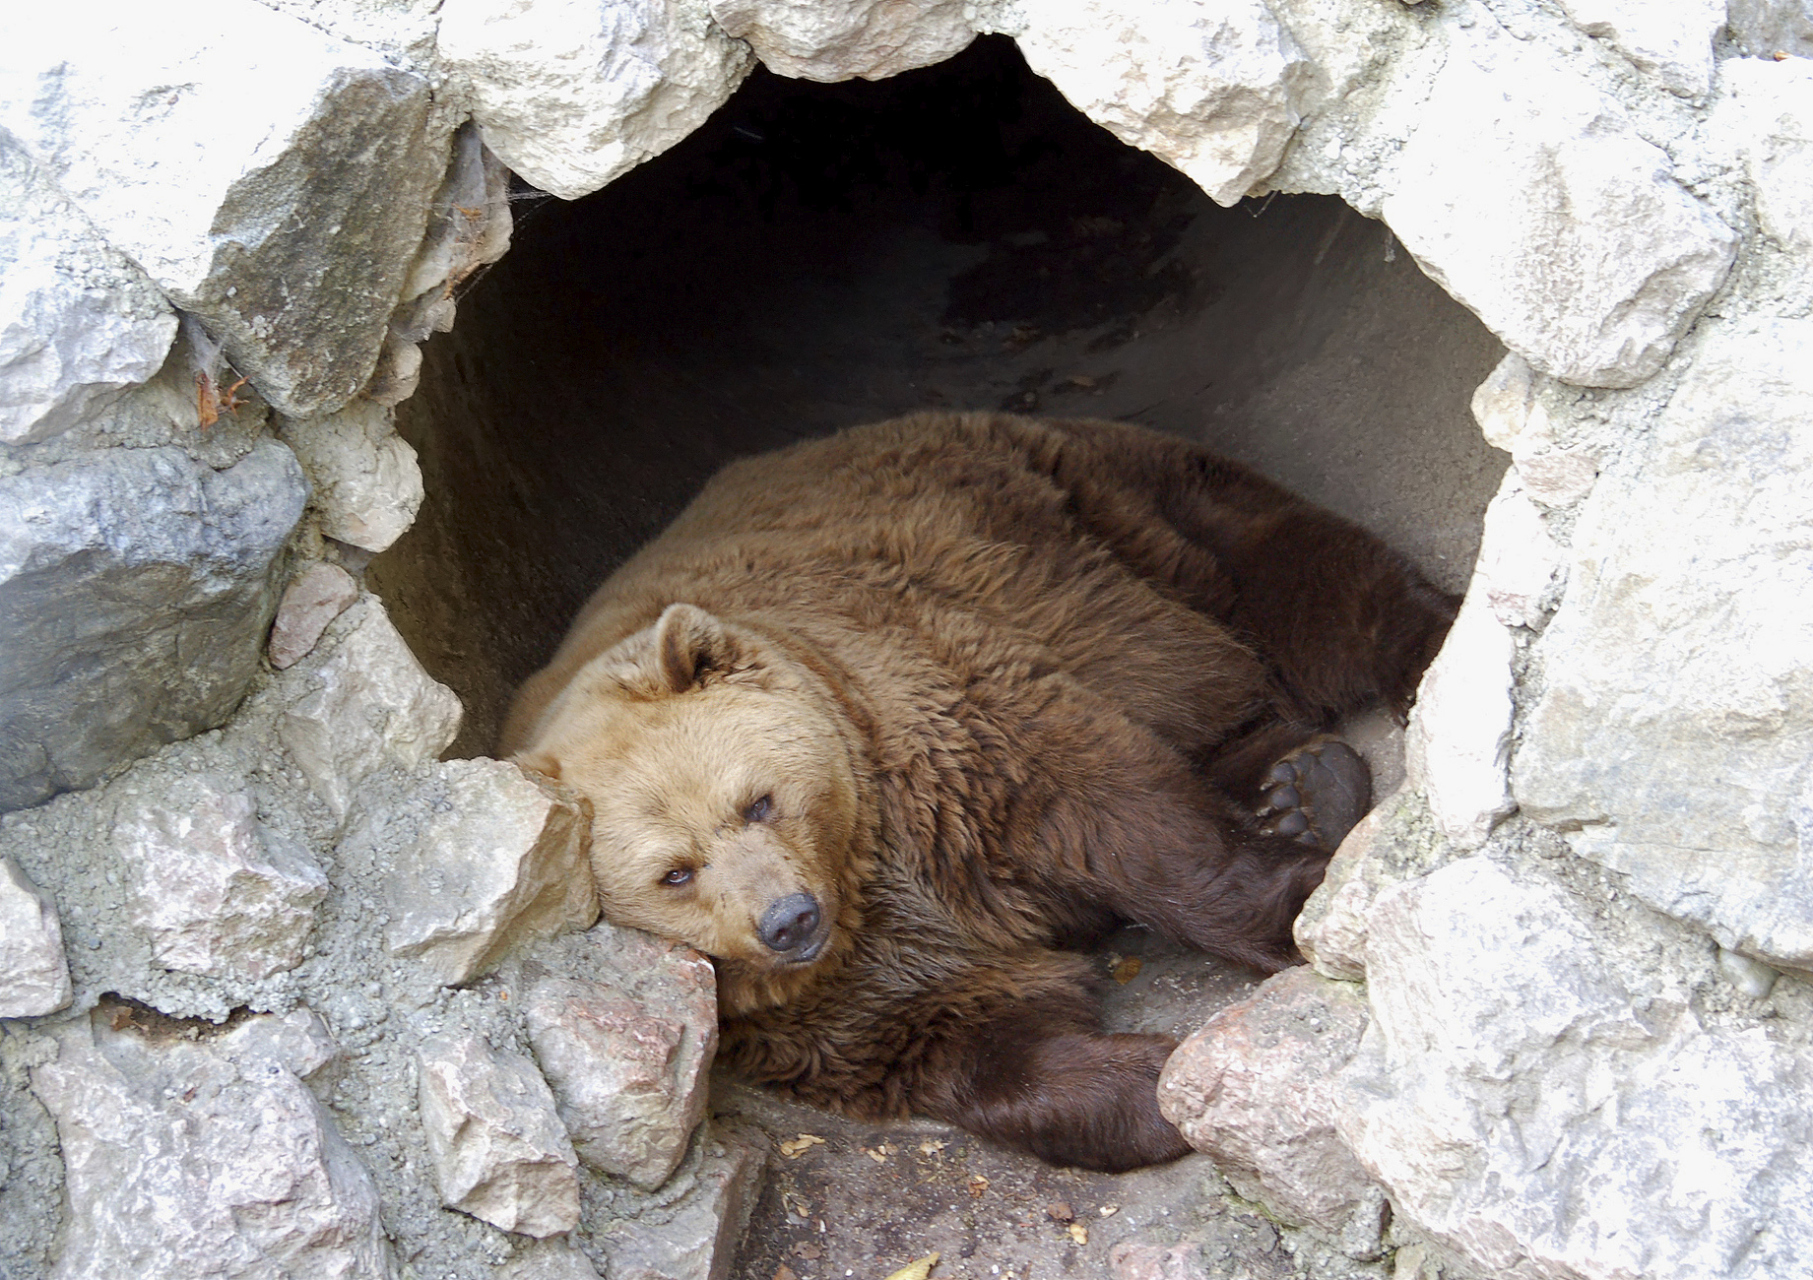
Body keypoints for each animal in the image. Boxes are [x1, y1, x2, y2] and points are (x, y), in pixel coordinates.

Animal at [500, 409, 1457, 1167]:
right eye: (675, 872)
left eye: (756, 801)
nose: (788, 920)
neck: (863, 872)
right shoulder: (822, 1003)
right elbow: (966, 1039)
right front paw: (1150, 1083)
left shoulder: (942, 734)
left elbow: (1124, 818)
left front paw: (1291, 910)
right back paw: (1299, 783)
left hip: (1096, 516)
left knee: (1296, 579)